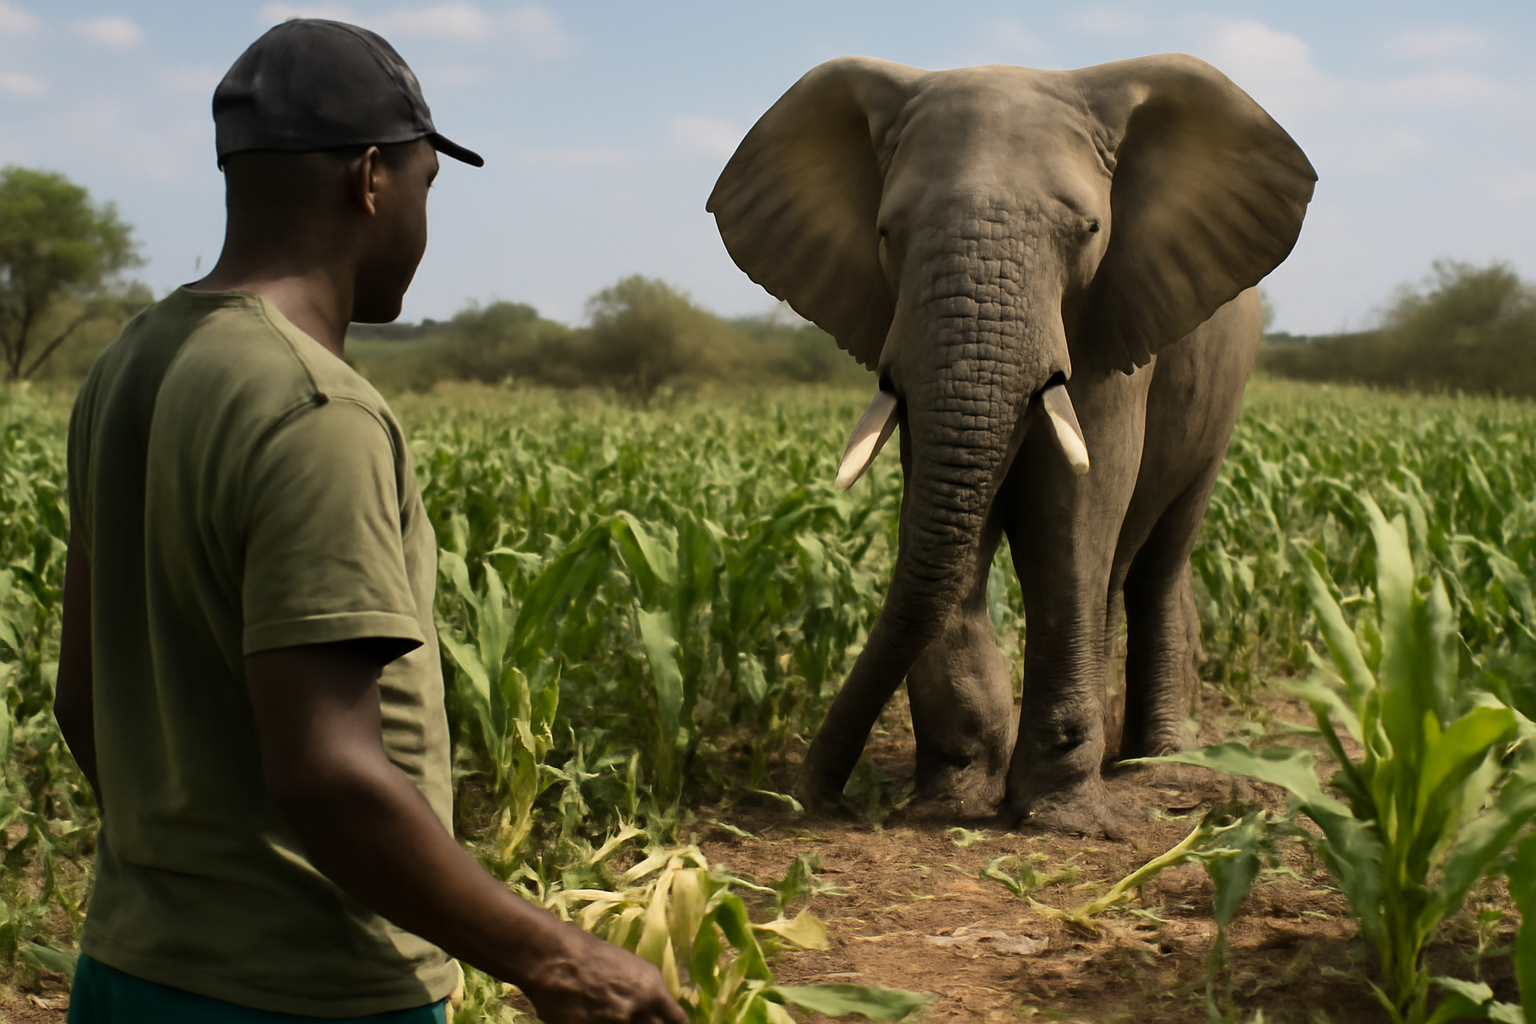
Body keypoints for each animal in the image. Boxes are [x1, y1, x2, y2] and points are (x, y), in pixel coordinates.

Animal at [706, 53, 1315, 832]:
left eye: (1090, 229)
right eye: (885, 232)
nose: (802, 797)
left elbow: (1073, 511)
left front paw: (1059, 821)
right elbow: (946, 514)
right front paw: (951, 799)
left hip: (1224, 395)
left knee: (1158, 555)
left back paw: (1157, 764)